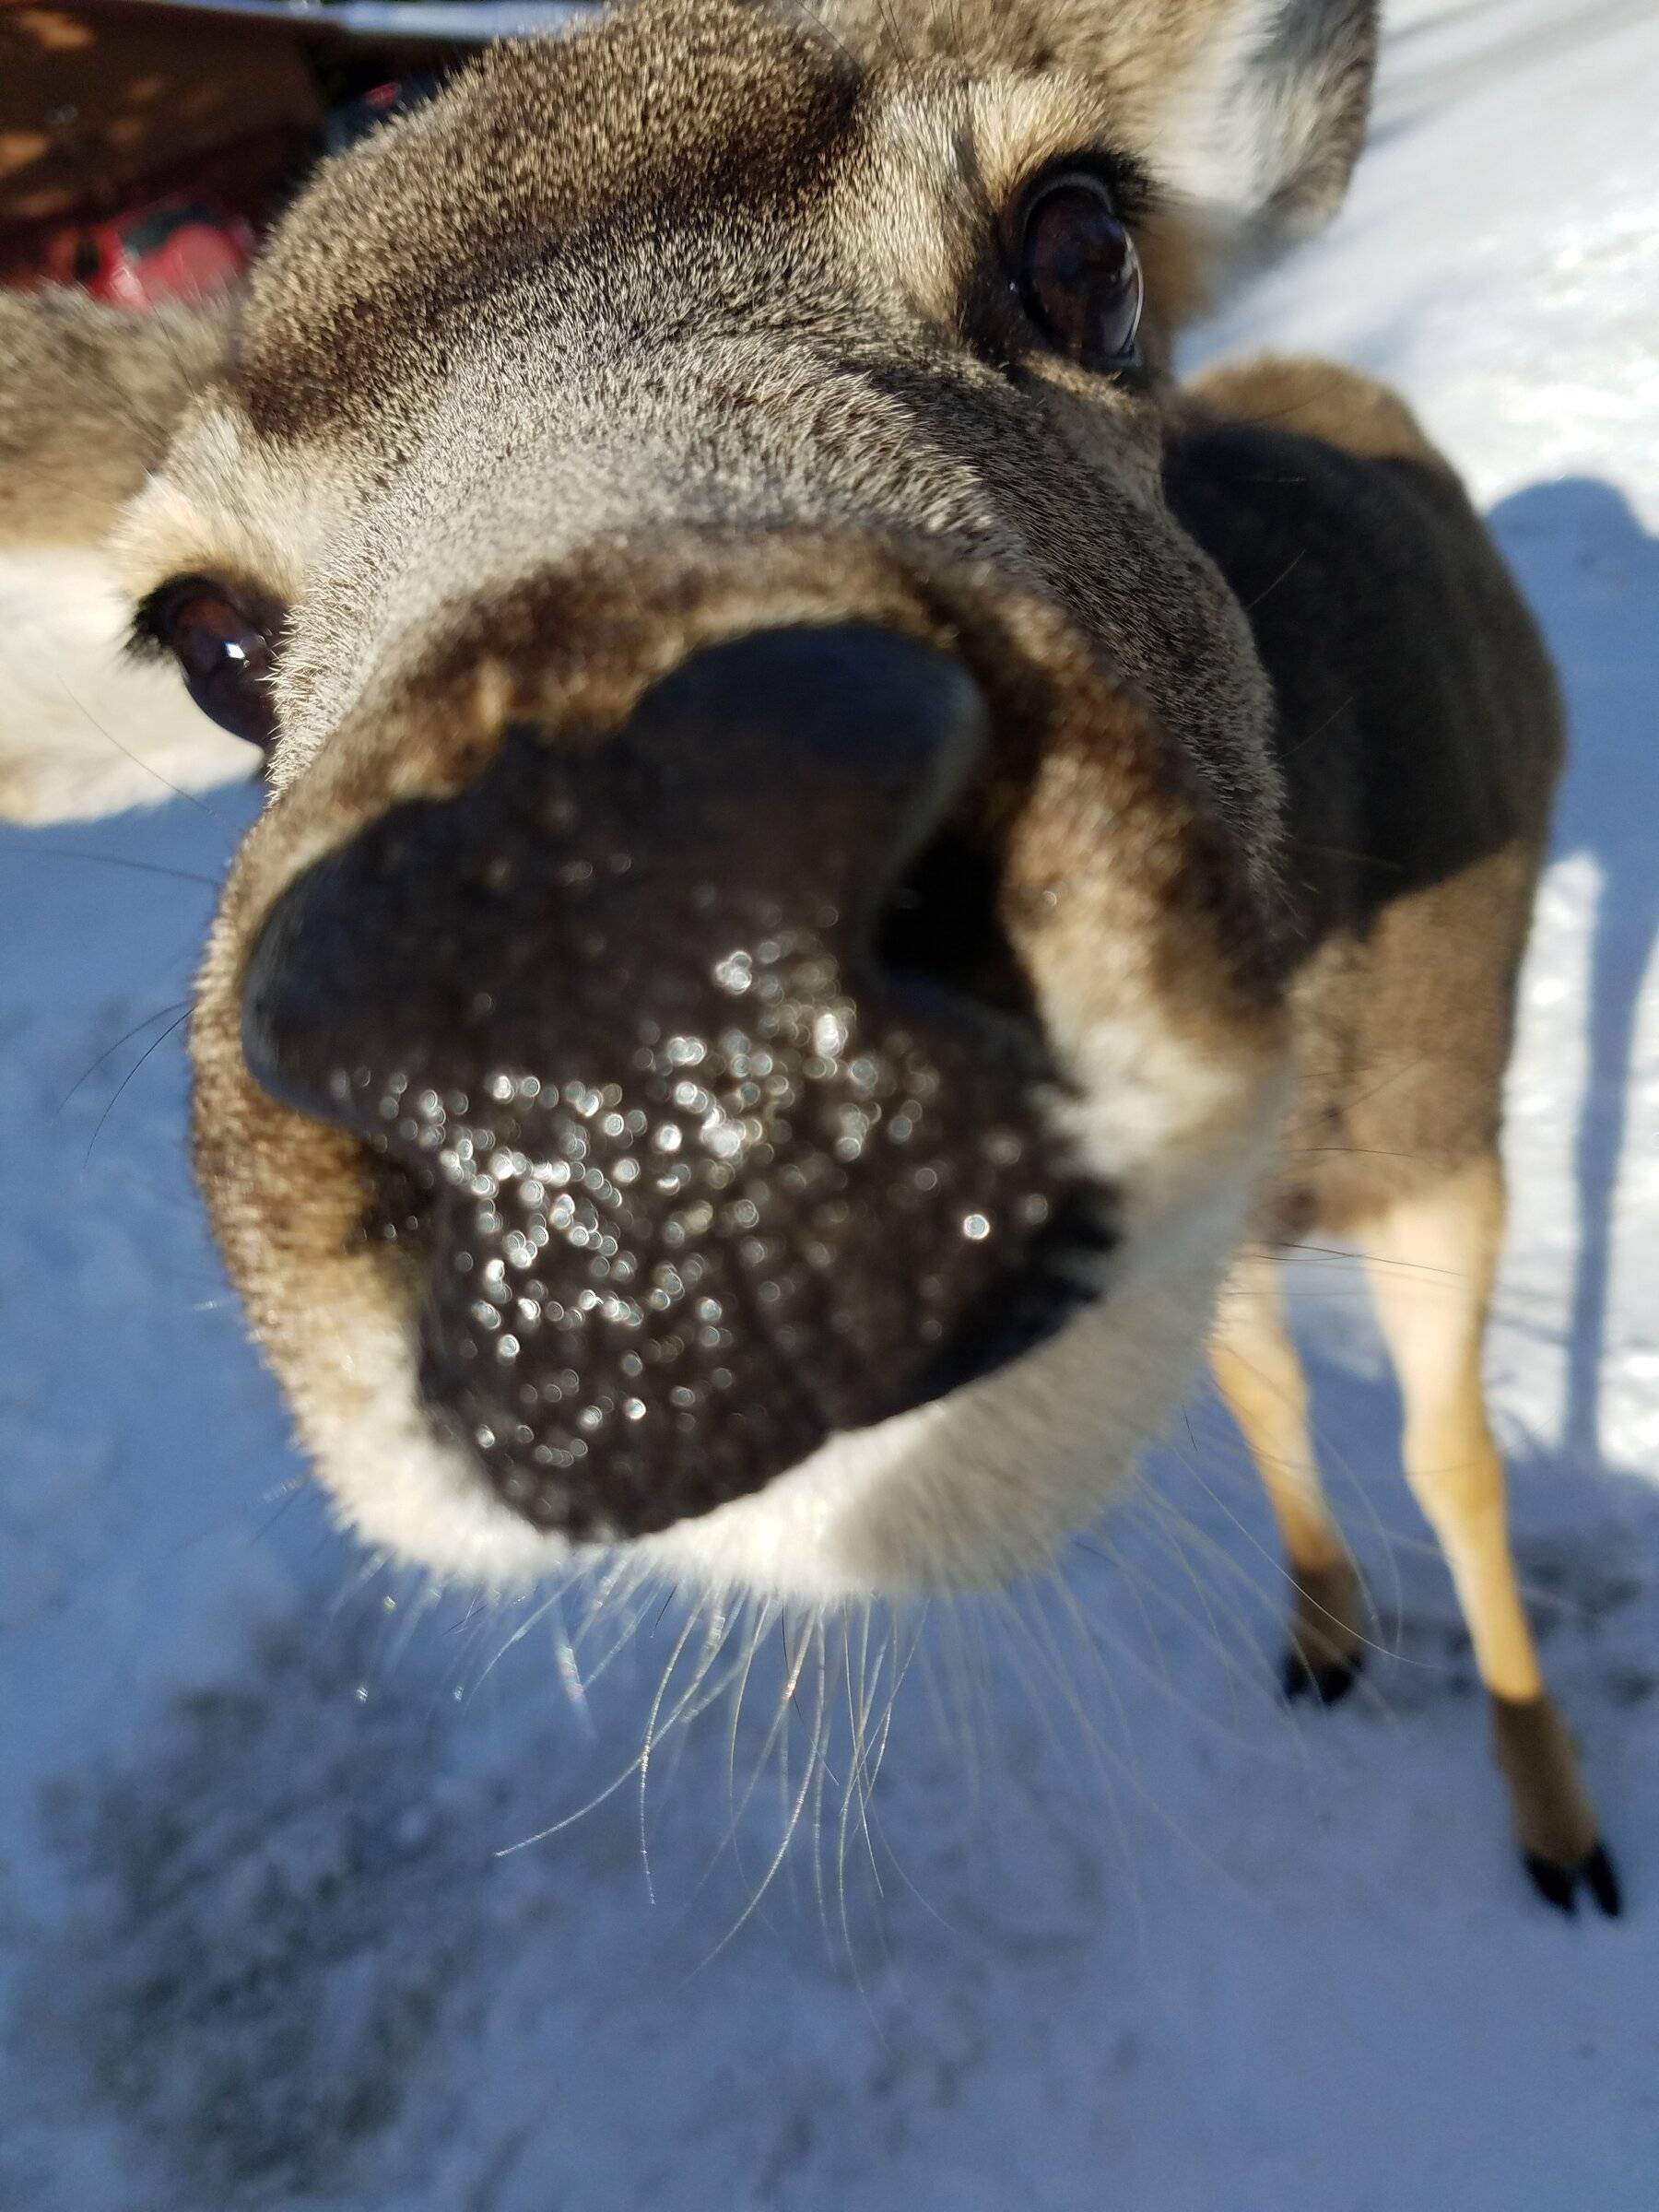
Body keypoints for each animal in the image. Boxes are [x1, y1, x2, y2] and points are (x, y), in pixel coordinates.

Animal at [0, 0, 1619, 1915]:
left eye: (1085, 244)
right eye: (206, 638)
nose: (606, 996)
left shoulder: (1446, 1128)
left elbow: (1461, 1461)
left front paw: (1563, 1831)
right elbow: (1266, 1377)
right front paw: (1327, 1635)